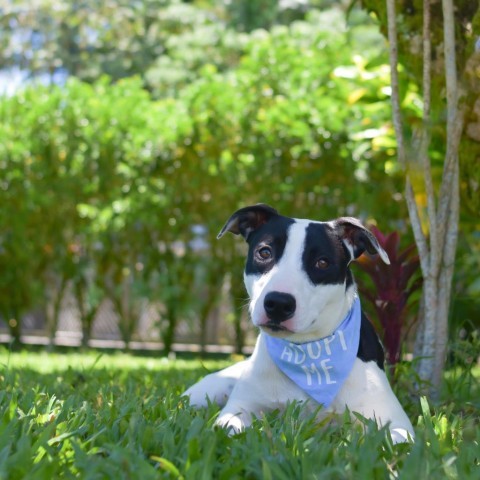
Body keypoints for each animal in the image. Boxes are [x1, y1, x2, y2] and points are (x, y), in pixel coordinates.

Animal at [182, 204, 414, 444]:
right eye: (264, 252)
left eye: (322, 262)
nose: (278, 303)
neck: (307, 354)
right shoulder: (239, 408)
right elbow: (229, 429)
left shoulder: (394, 421)